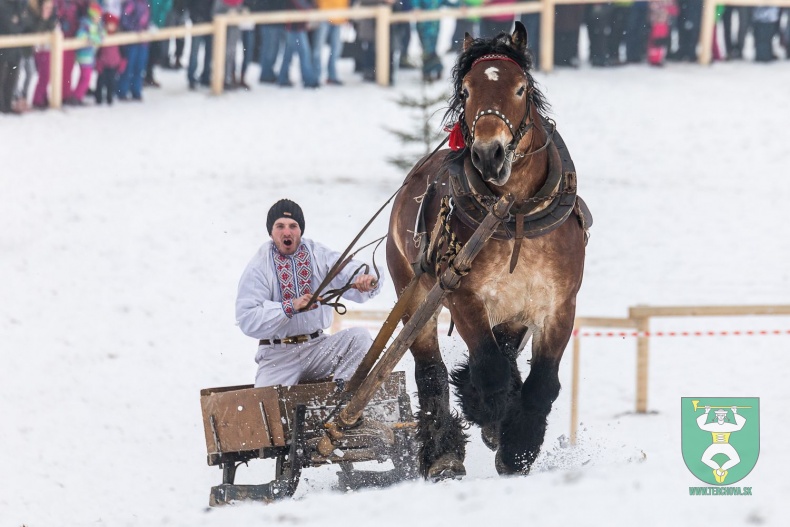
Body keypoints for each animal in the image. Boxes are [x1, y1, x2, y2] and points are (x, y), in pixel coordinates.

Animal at [386, 22, 592, 480]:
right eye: (465, 91)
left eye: (519, 88)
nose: (488, 153)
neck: (515, 216)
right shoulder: (462, 294)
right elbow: (490, 371)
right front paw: (490, 418)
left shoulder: (559, 303)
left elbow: (541, 384)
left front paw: (516, 449)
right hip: (416, 293)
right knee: (430, 372)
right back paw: (442, 452)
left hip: (512, 310)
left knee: (506, 353)